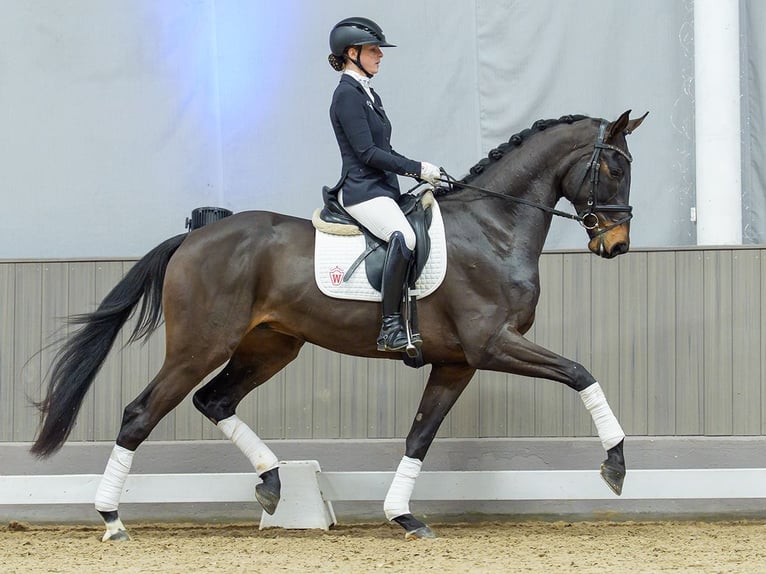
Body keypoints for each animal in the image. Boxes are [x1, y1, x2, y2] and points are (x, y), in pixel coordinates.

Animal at [31, 110, 646, 541]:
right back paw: (112, 519)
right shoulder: (491, 345)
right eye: (615, 167)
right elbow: (581, 372)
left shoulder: (456, 361)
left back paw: (273, 482)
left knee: (215, 401)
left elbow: (420, 435)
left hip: (271, 346)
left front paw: (402, 516)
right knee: (141, 414)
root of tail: (194, 237)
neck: (493, 227)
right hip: (200, 345)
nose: (616, 245)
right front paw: (615, 464)